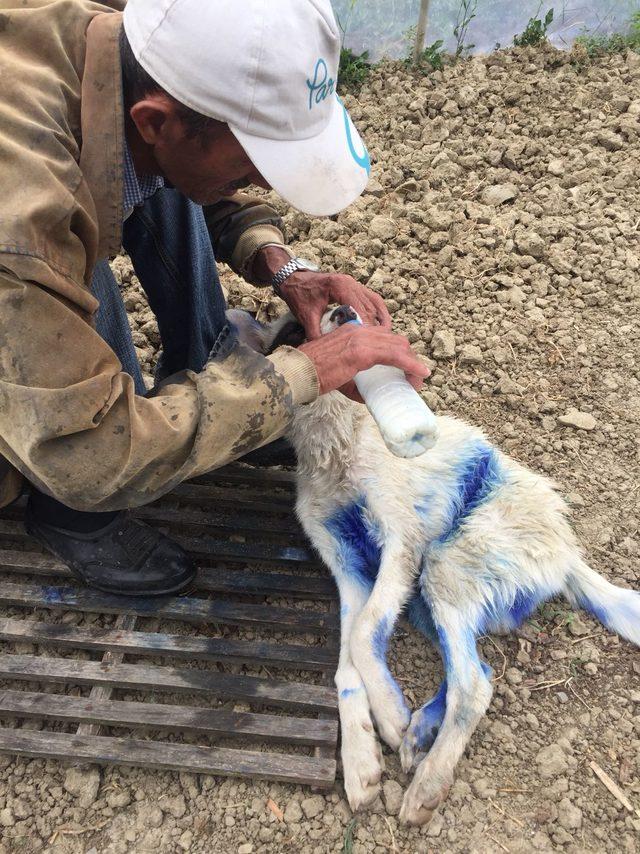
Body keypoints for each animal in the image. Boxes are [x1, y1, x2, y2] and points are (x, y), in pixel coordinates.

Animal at [230, 310, 640, 828]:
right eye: (296, 331)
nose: (345, 312)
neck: (339, 444)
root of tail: (568, 554)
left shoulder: (400, 545)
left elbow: (364, 634)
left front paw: (389, 714)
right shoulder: (348, 569)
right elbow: (347, 666)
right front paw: (361, 760)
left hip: (443, 566)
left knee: (474, 687)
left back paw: (428, 780)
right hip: (424, 596)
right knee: (479, 669)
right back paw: (422, 730)